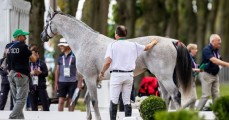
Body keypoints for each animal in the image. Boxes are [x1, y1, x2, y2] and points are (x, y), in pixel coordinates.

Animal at [40, 9, 193, 120]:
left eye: (47, 21)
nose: (42, 36)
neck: (85, 41)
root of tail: (171, 41)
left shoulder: (89, 78)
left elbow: (94, 100)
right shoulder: (94, 79)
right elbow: (88, 98)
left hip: (165, 77)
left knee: (175, 95)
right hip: (160, 77)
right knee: (166, 97)